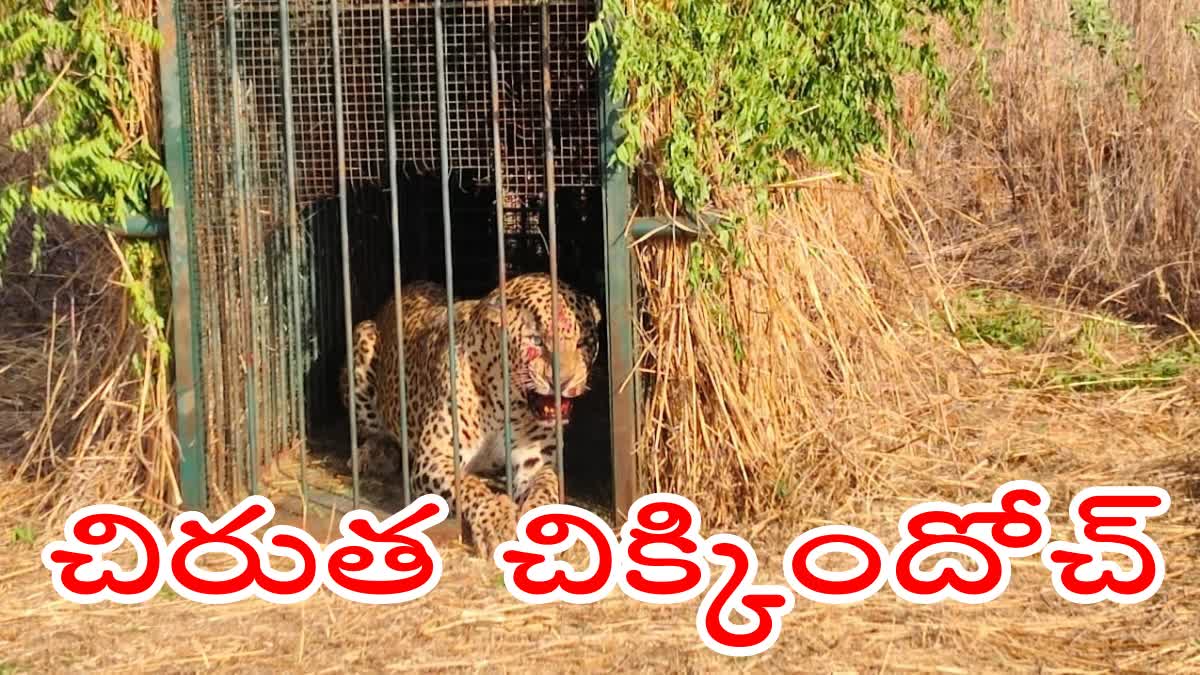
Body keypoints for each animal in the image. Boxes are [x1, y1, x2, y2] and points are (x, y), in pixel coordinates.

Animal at [336, 270, 600, 554]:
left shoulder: (537, 463)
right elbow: (468, 487)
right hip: (362, 335)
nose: (563, 382)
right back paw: (374, 456)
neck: (508, 405)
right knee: (376, 433)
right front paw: (497, 521)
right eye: (537, 341)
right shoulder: (435, 457)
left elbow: (547, 486)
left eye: (583, 342)